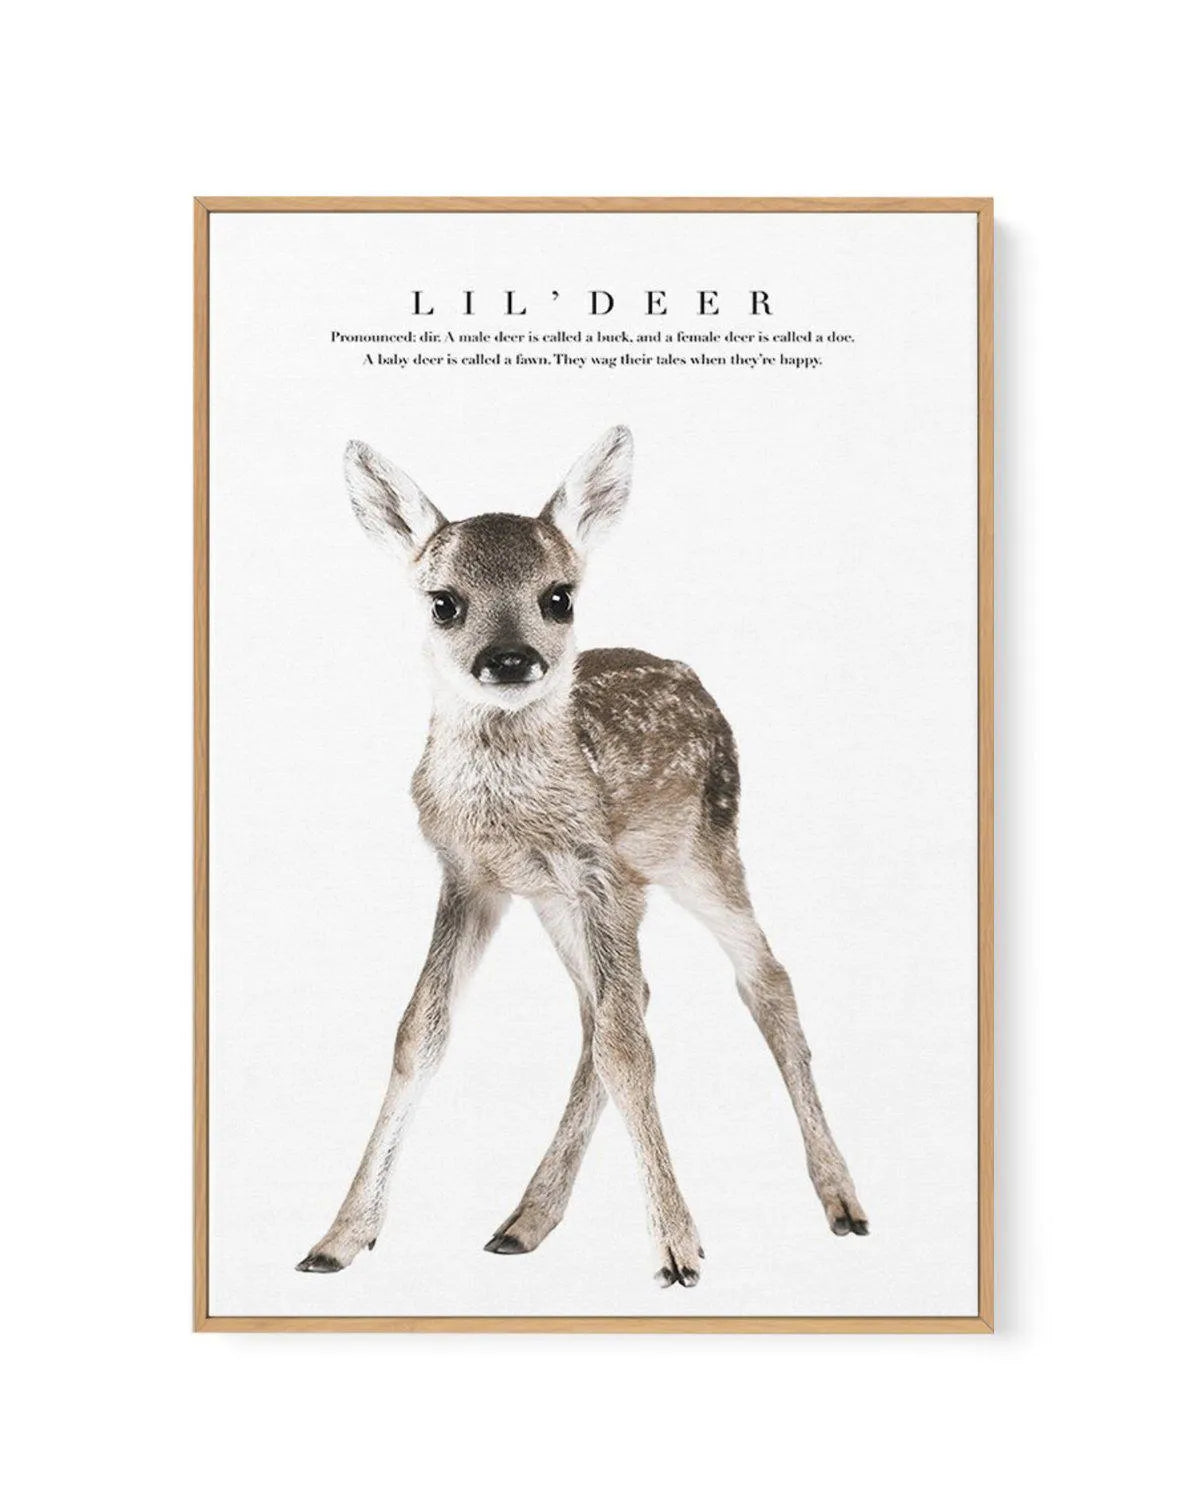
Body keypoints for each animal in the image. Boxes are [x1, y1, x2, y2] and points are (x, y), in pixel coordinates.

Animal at [297, 426, 867, 1288]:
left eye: (558, 596)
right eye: (443, 602)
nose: (509, 659)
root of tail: (692, 676)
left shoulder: (598, 868)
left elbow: (628, 1048)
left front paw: (677, 1250)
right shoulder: (472, 876)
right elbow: (420, 1032)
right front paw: (339, 1237)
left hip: (704, 849)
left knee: (762, 980)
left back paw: (842, 1201)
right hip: (571, 900)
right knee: (613, 1007)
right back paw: (525, 1221)